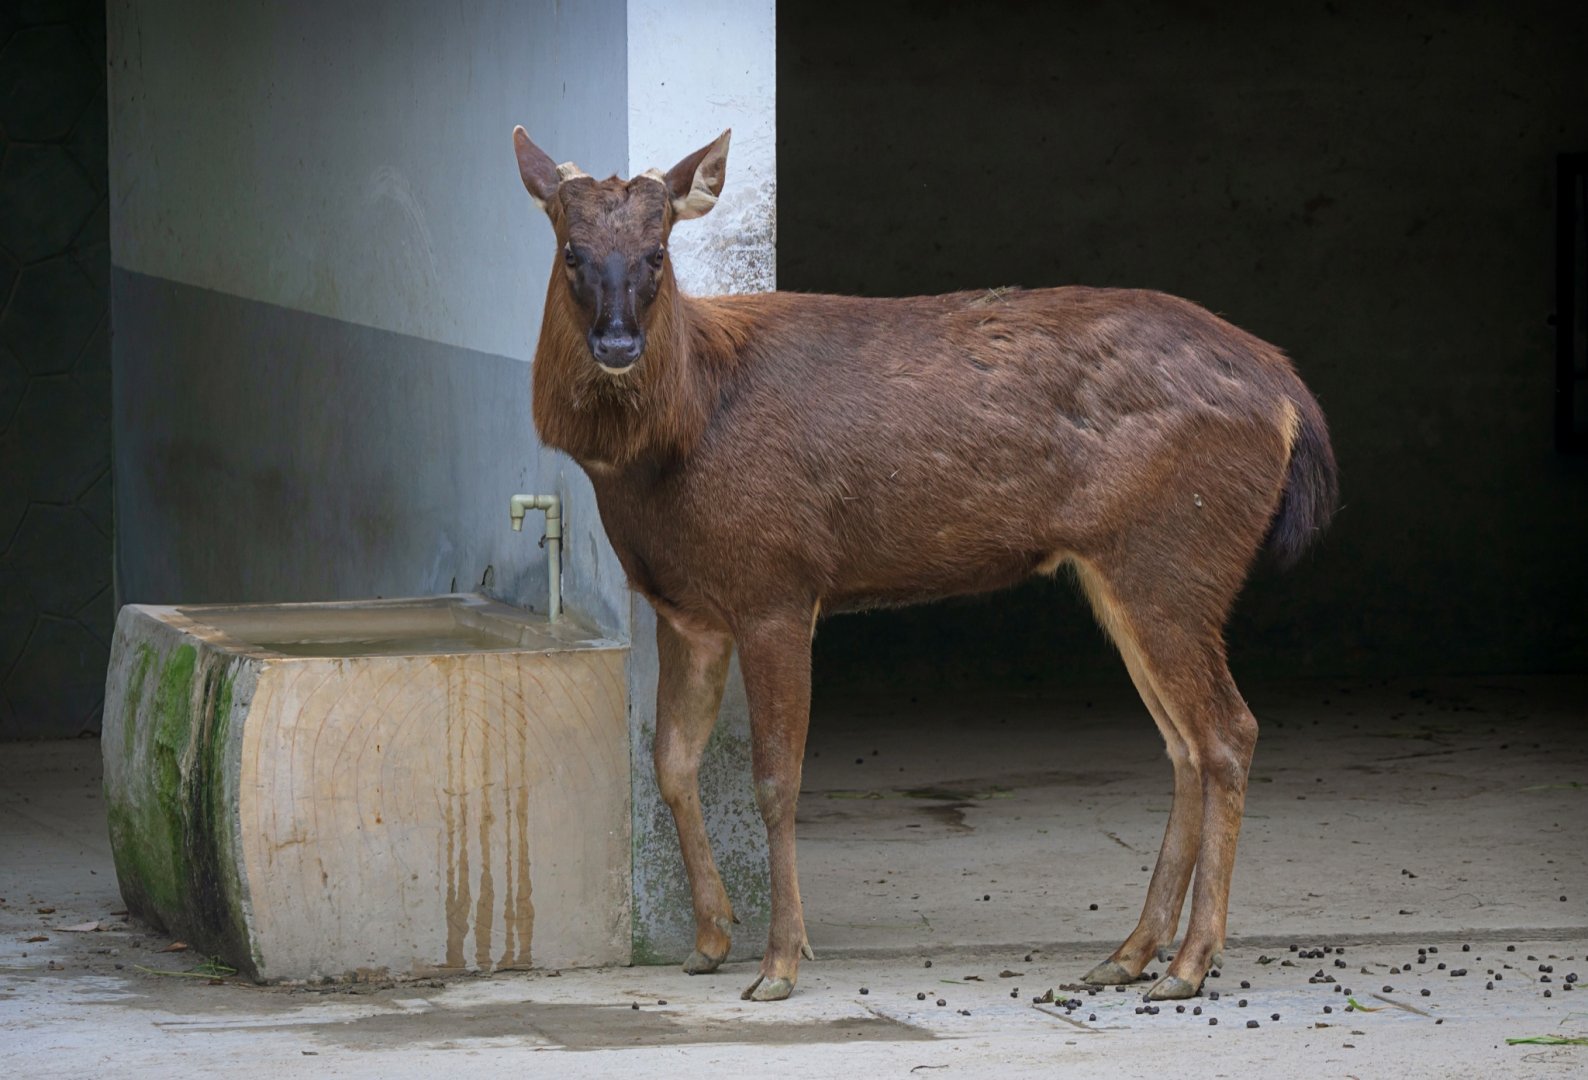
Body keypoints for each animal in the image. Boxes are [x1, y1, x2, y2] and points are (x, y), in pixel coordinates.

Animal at [511, 125, 1338, 1003]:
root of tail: (1291, 397)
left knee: (1228, 731)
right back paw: (1127, 954)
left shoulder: (778, 581)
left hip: (1175, 554)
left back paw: (1188, 962)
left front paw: (778, 963)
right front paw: (709, 940)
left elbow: (776, 780)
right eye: (571, 249)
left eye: (659, 252)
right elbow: (672, 763)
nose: (618, 342)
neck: (684, 428)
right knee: (1184, 745)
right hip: (1128, 569)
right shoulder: (690, 608)